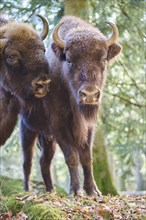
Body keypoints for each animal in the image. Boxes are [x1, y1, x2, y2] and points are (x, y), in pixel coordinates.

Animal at [19, 15, 122, 196]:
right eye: (69, 60)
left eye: (103, 59)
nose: (89, 95)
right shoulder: (59, 125)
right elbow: (72, 156)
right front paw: (75, 191)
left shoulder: (88, 127)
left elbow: (86, 157)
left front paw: (93, 191)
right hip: (28, 131)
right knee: (27, 162)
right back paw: (27, 191)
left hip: (47, 138)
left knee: (44, 161)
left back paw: (50, 191)